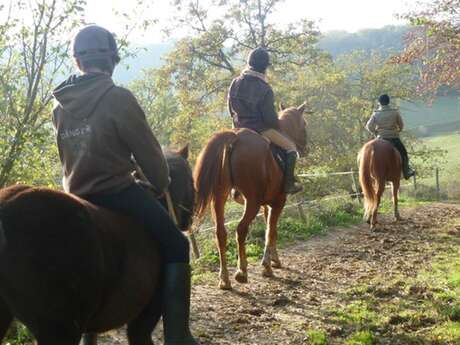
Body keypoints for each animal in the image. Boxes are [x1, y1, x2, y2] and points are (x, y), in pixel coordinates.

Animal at [192, 103, 308, 288]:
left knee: (220, 233)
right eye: (304, 124)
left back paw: (224, 279)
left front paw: (274, 259)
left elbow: (270, 229)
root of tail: (235, 137)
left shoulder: (267, 204)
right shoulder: (278, 202)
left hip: (219, 198)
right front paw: (267, 266)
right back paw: (241, 272)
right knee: (241, 230)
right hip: (252, 202)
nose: (305, 149)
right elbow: (271, 231)